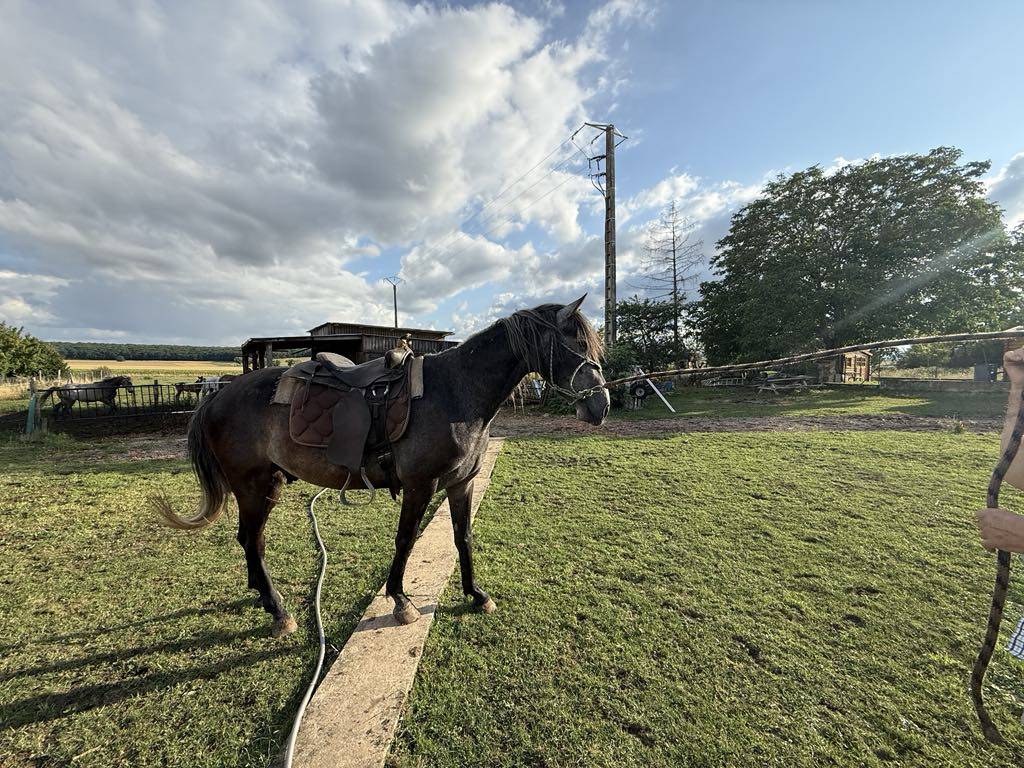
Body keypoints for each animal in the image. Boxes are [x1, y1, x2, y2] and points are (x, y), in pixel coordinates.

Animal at [152, 298, 609, 637]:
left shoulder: (461, 484)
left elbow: (463, 538)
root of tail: (217, 396)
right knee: (253, 540)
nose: (601, 406)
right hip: (253, 486)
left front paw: (476, 594)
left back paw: (262, 597)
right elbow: (404, 540)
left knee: (248, 540)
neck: (456, 392)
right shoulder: (421, 486)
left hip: (268, 484)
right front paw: (401, 601)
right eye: (576, 344)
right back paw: (279, 611)